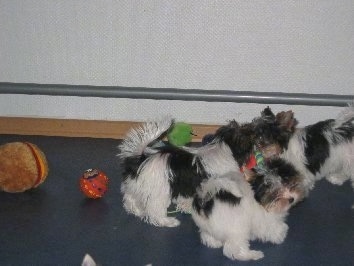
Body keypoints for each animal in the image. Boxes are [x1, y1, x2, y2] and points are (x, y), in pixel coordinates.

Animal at [118, 109, 298, 228]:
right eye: (252, 136)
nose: (260, 144)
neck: (222, 147)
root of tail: (140, 157)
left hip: (137, 185)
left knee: (130, 198)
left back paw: (136, 210)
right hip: (159, 190)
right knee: (155, 209)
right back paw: (167, 221)